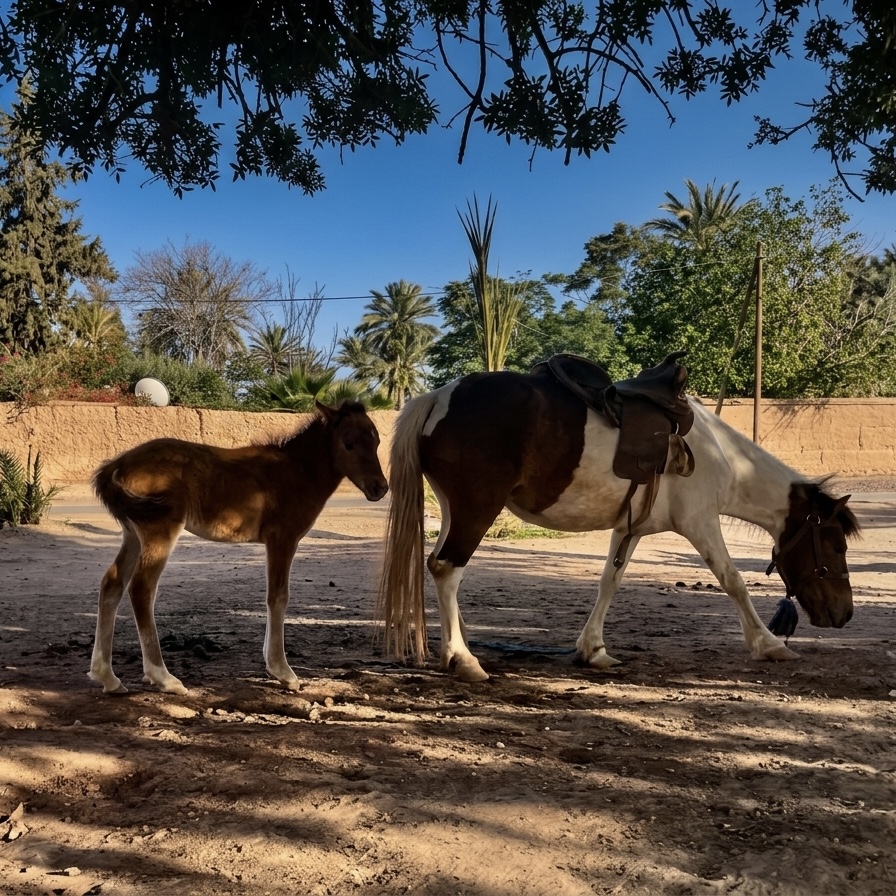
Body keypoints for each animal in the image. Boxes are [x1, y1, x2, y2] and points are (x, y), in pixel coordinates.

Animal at [90, 400, 388, 695]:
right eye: (348, 443)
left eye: (376, 440)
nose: (380, 488)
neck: (296, 470)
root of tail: (116, 465)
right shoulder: (283, 539)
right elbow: (278, 597)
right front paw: (283, 671)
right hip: (160, 531)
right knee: (142, 588)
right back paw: (163, 677)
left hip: (133, 535)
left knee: (112, 584)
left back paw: (108, 677)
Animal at [377, 362, 860, 682]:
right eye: (837, 544)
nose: (844, 614)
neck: (721, 453)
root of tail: (438, 397)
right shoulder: (701, 522)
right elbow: (733, 581)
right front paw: (769, 644)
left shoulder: (629, 528)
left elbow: (609, 583)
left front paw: (593, 651)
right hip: (477, 508)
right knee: (447, 568)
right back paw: (463, 658)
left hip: (455, 509)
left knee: (442, 568)